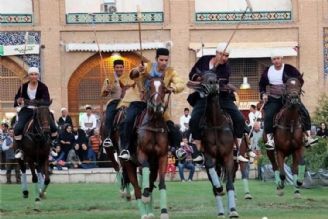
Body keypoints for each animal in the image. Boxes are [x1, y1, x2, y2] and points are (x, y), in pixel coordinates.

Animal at [120, 78, 170, 219]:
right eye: (149, 87)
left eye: (163, 88)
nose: (158, 106)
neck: (153, 124)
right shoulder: (142, 153)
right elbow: (145, 166)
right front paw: (145, 195)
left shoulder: (162, 157)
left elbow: (161, 183)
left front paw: (164, 212)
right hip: (128, 164)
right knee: (137, 189)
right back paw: (144, 213)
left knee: (150, 183)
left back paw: (150, 212)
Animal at [188, 72, 240, 217]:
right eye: (202, 77)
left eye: (216, 78)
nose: (212, 84)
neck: (216, 122)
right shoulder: (209, 154)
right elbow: (210, 168)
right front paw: (218, 187)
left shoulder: (228, 156)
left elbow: (230, 184)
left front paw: (233, 210)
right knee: (214, 185)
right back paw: (221, 210)